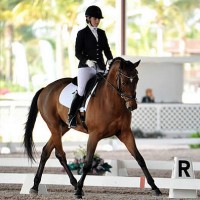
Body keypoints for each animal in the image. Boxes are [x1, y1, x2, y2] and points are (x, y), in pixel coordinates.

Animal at [23, 56, 162, 198]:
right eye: (123, 82)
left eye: (137, 80)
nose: (132, 106)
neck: (111, 101)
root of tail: (46, 88)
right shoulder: (94, 135)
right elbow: (88, 163)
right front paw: (79, 191)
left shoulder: (125, 133)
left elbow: (139, 158)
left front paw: (155, 187)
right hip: (54, 126)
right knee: (60, 154)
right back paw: (73, 185)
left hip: (63, 128)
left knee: (46, 151)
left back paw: (36, 186)